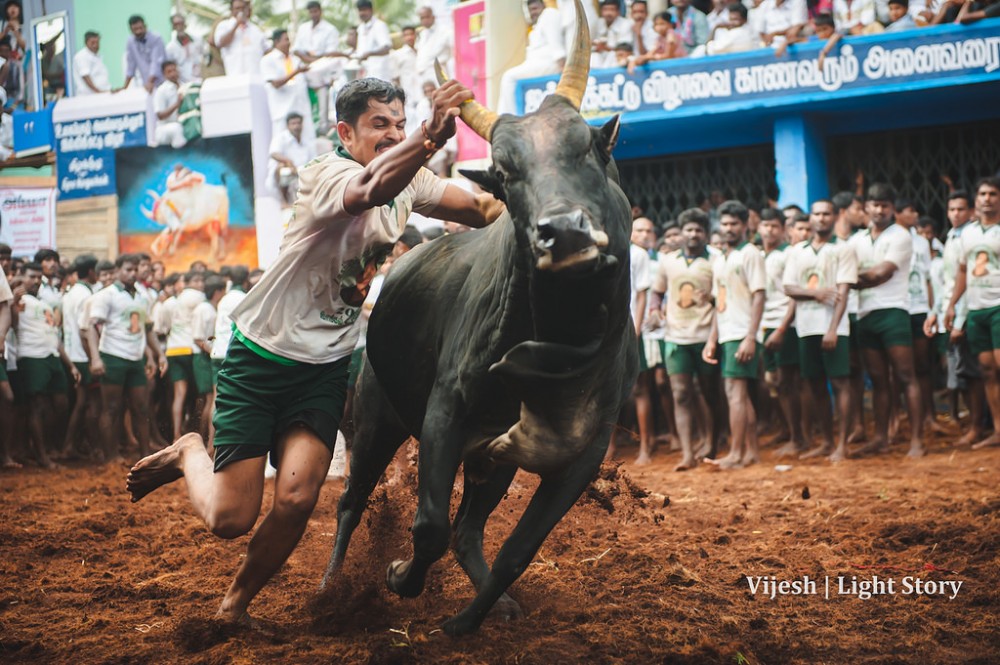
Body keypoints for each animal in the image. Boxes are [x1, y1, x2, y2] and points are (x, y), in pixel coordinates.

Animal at [324, 0, 636, 632]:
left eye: (589, 149)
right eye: (506, 172)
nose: (564, 232)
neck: (563, 346)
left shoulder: (581, 454)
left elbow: (517, 550)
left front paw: (466, 622)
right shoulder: (445, 414)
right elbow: (428, 527)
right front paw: (400, 577)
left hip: (488, 462)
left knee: (469, 529)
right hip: (375, 421)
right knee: (352, 502)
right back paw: (332, 588)